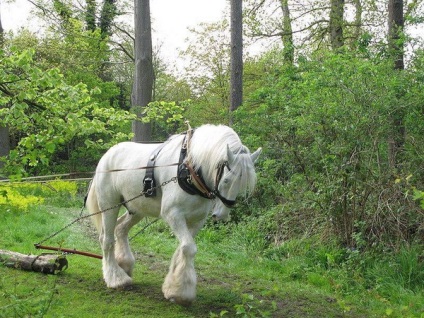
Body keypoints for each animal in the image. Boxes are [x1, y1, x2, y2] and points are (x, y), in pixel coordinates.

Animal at [85, 124, 260, 306]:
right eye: (226, 180)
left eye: (243, 186)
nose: (222, 215)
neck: (190, 168)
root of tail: (106, 156)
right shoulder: (173, 214)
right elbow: (188, 247)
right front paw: (181, 293)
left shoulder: (197, 220)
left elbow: (183, 249)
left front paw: (173, 286)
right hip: (109, 205)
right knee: (106, 240)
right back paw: (116, 278)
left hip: (136, 208)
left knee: (120, 229)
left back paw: (124, 265)